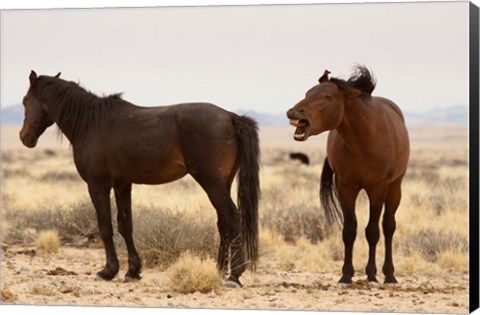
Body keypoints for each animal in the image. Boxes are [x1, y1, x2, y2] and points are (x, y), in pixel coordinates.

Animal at [19, 70, 258, 288]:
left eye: (25, 101)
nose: (24, 137)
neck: (91, 123)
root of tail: (231, 117)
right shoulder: (122, 185)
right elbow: (126, 225)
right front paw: (132, 271)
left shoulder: (98, 185)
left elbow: (105, 226)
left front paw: (108, 271)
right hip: (222, 183)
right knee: (223, 222)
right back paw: (218, 270)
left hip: (211, 182)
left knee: (232, 218)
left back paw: (234, 276)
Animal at [286, 66, 410, 284]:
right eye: (307, 93)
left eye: (327, 97)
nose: (293, 112)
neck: (363, 141)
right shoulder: (345, 187)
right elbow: (349, 230)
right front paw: (346, 274)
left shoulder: (377, 188)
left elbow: (372, 231)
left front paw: (371, 274)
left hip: (395, 187)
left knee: (388, 226)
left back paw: (389, 275)